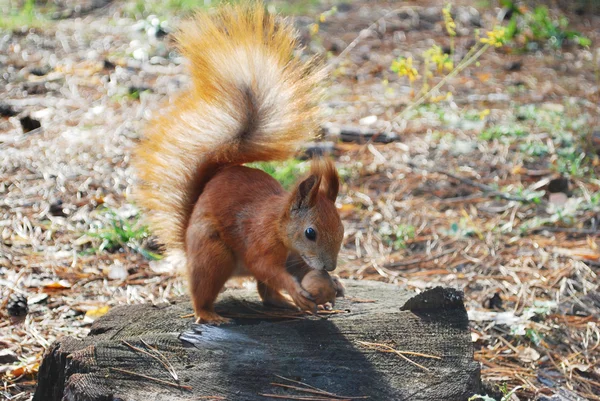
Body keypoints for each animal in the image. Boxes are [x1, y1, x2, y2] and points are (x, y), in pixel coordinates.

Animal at [134, 1, 344, 324]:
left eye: (342, 228)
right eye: (311, 233)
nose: (330, 267)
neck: (279, 229)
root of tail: (187, 243)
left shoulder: (296, 259)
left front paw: (332, 286)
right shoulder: (259, 241)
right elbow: (265, 267)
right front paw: (296, 290)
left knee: (265, 293)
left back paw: (282, 303)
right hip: (212, 254)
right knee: (204, 290)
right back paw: (210, 315)